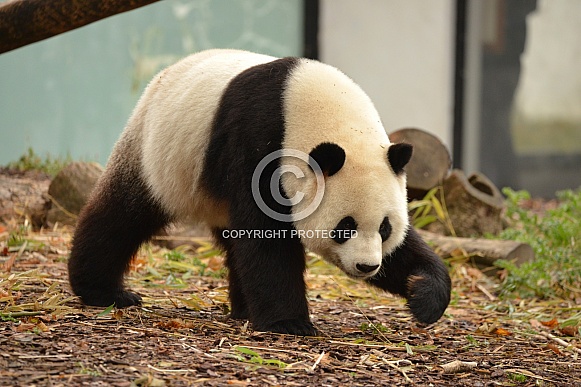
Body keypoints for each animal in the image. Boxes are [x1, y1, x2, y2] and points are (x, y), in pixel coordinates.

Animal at [67, 49, 448, 336]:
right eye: (345, 226)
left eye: (384, 228)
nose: (367, 266)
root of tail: (162, 75)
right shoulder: (257, 141)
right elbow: (266, 237)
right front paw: (290, 323)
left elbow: (406, 252)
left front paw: (422, 294)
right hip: (159, 156)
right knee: (122, 216)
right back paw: (105, 291)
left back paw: (244, 309)